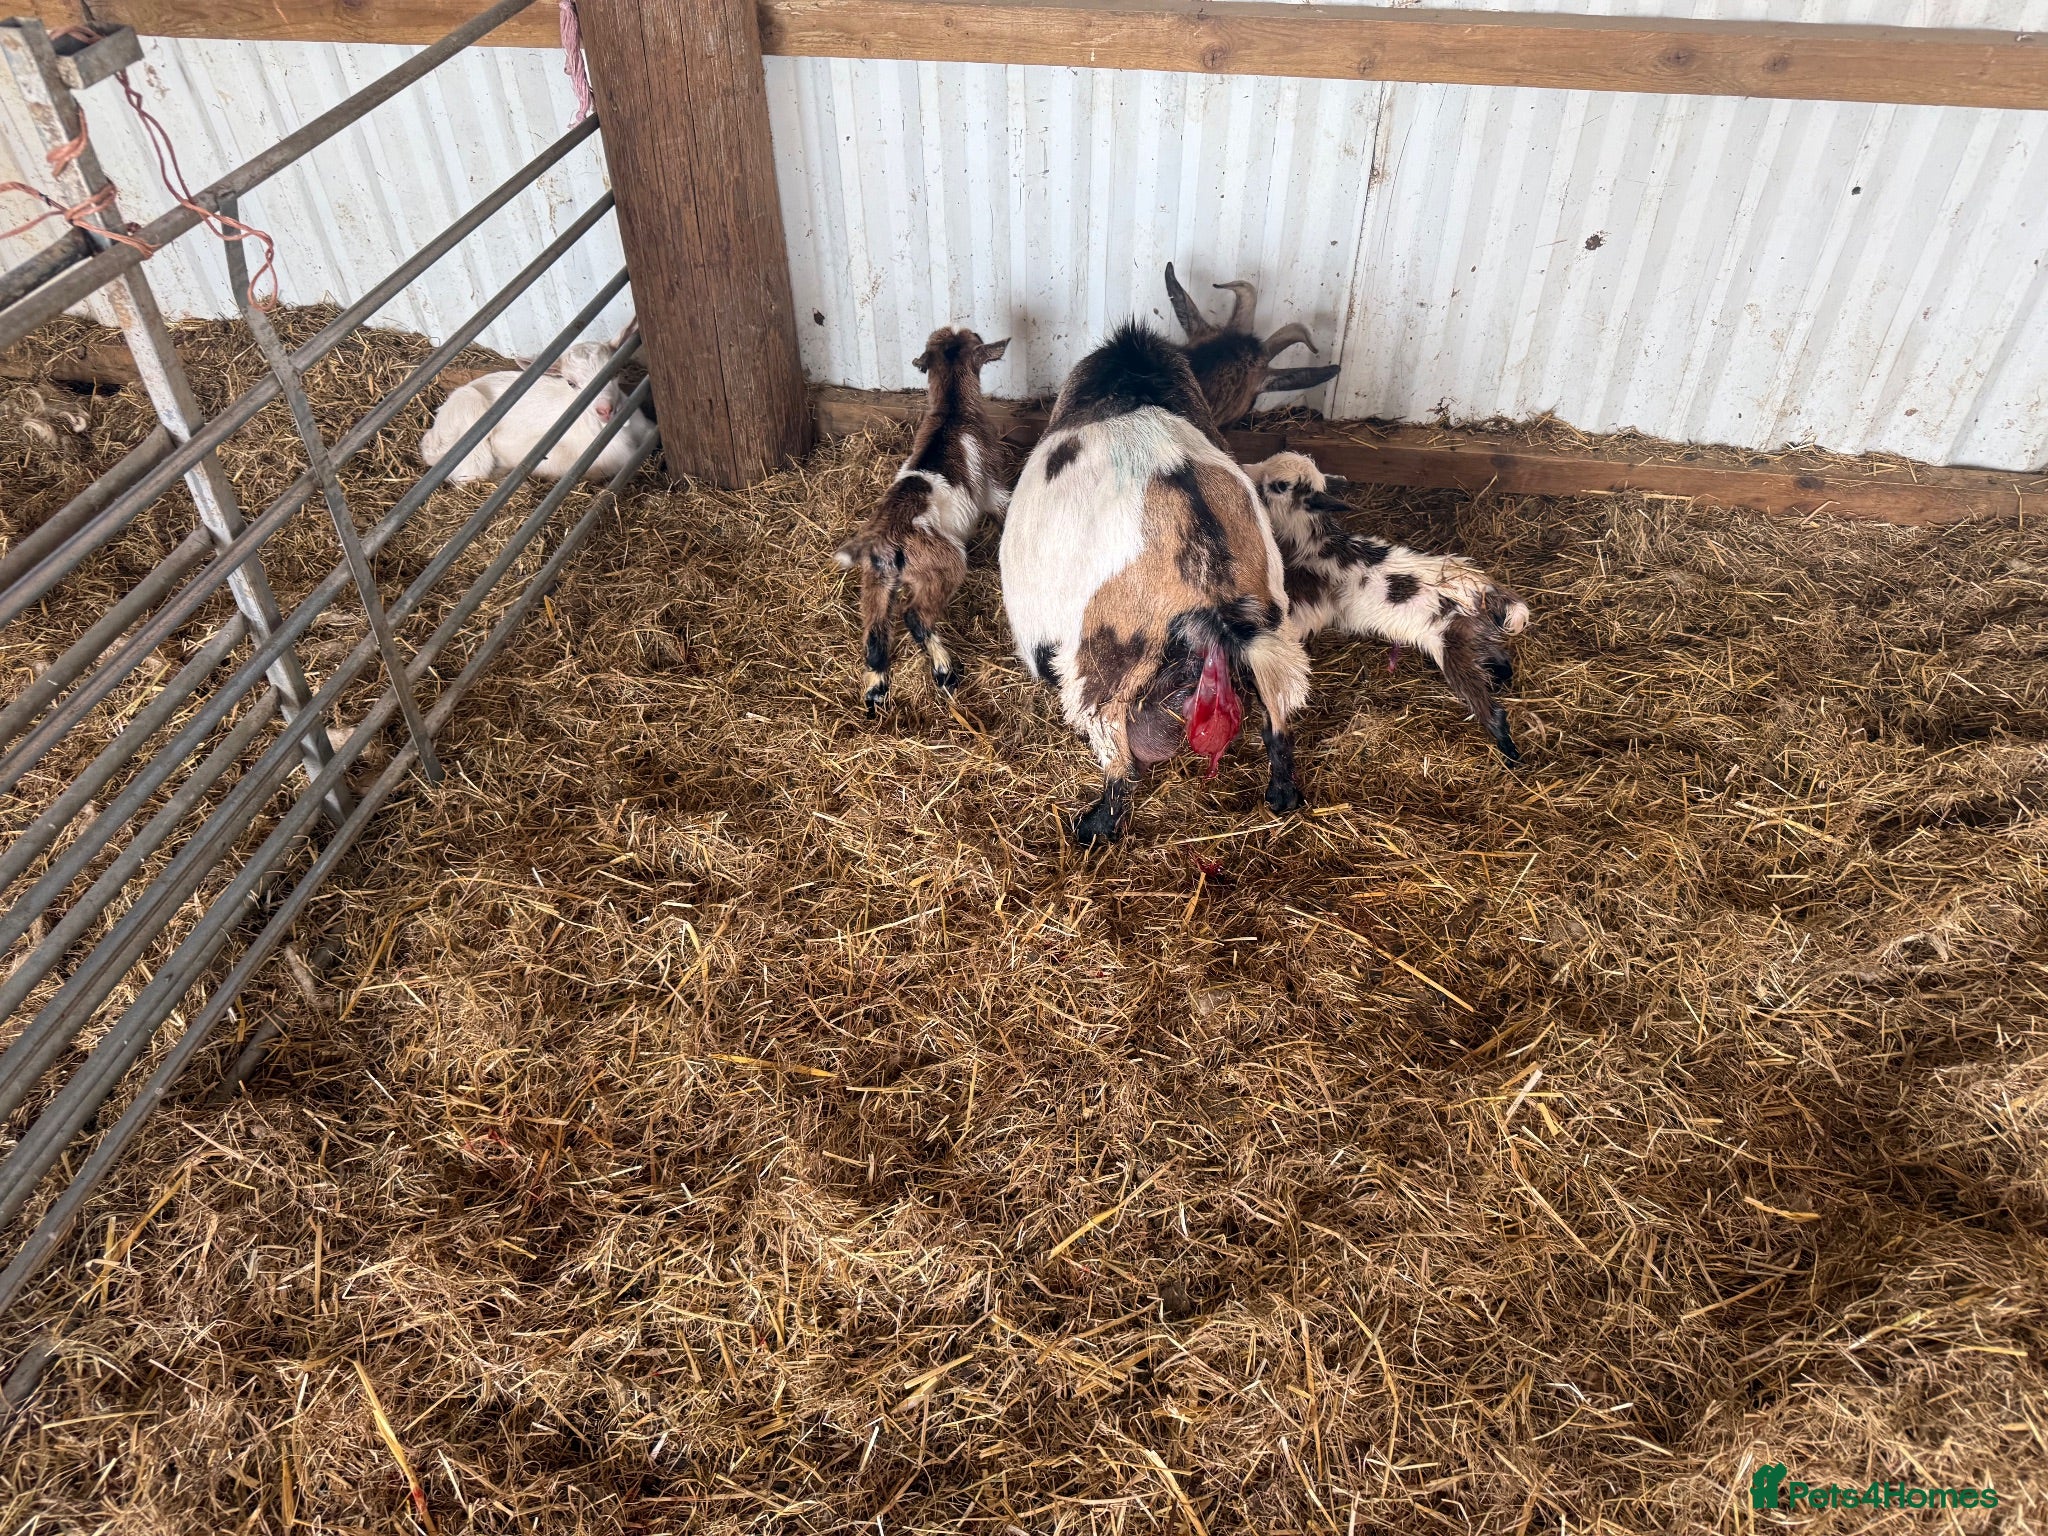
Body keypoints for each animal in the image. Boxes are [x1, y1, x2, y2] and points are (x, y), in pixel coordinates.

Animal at [835, 327, 1009, 715]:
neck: (952, 411)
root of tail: (885, 534)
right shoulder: (994, 481)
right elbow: (1002, 507)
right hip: (943, 563)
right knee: (914, 616)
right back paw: (944, 671)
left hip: (876, 580)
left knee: (875, 631)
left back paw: (876, 688)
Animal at [1000, 323, 1311, 844]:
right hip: (1270, 625)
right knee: (1279, 711)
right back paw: (1282, 793)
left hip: (1107, 651)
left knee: (1113, 747)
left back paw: (1094, 825)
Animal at [1249, 450, 1529, 763]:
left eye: (1279, 486)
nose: (1247, 470)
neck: (1315, 542)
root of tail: (1486, 589)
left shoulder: (1310, 603)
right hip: (1473, 635)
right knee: (1501, 658)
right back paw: (1502, 682)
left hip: (1452, 646)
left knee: (1489, 706)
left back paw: (1510, 751)